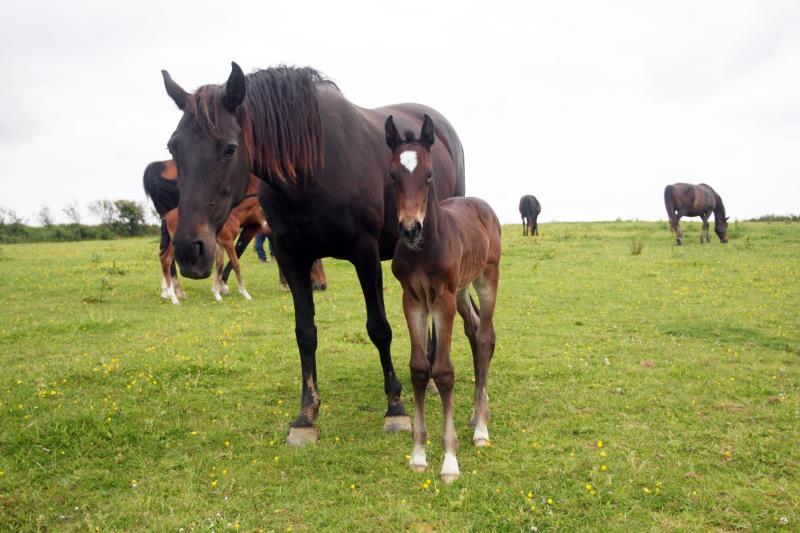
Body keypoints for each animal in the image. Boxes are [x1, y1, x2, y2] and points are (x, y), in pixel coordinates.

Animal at [159, 62, 466, 444]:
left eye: (229, 148)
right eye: (173, 147)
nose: (190, 250)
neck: (313, 169)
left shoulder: (365, 255)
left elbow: (379, 328)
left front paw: (395, 408)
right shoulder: (292, 256)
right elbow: (305, 333)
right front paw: (306, 416)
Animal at [386, 114, 500, 484]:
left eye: (429, 174)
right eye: (393, 175)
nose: (410, 228)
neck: (424, 249)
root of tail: (479, 204)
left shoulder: (442, 300)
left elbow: (445, 372)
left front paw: (450, 461)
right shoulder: (413, 300)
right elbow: (420, 369)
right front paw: (418, 455)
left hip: (486, 279)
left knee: (485, 336)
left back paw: (480, 429)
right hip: (462, 290)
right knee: (474, 330)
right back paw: (476, 415)